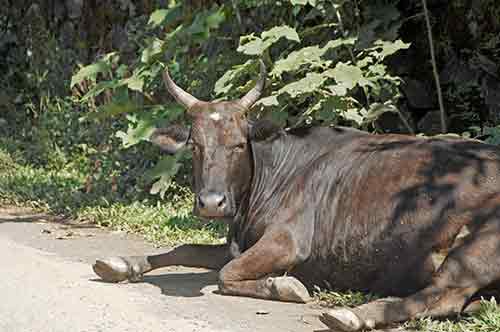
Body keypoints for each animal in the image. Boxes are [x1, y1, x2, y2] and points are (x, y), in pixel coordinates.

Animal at [92, 61, 500, 330]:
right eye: (194, 146)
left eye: (239, 144)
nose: (211, 203)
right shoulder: (240, 240)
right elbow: (185, 249)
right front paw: (122, 263)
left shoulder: (287, 240)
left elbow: (226, 273)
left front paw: (283, 284)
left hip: (477, 243)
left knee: (442, 294)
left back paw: (352, 314)